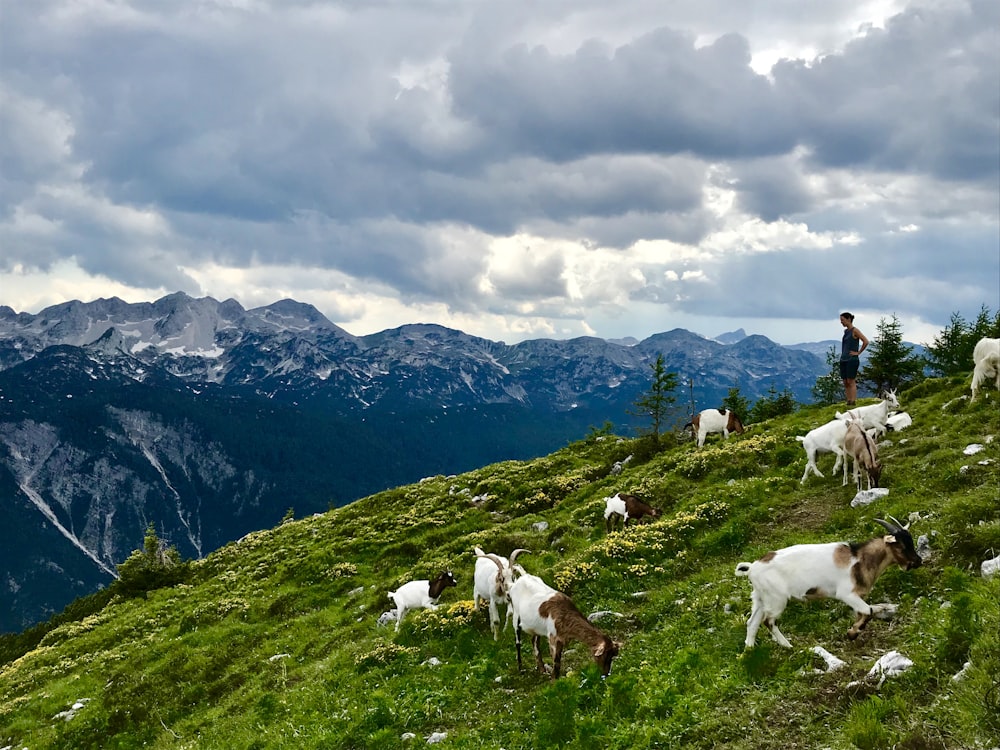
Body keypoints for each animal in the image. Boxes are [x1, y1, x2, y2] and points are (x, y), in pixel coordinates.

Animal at [736, 516, 920, 652]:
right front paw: (852, 633)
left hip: (760, 598)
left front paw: (853, 630)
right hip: (776, 599)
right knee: (768, 621)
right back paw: (788, 646)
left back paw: (749, 651)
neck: (859, 558)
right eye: (901, 546)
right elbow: (867, 611)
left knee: (752, 623)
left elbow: (867, 611)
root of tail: (752, 568)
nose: (918, 561)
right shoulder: (846, 594)